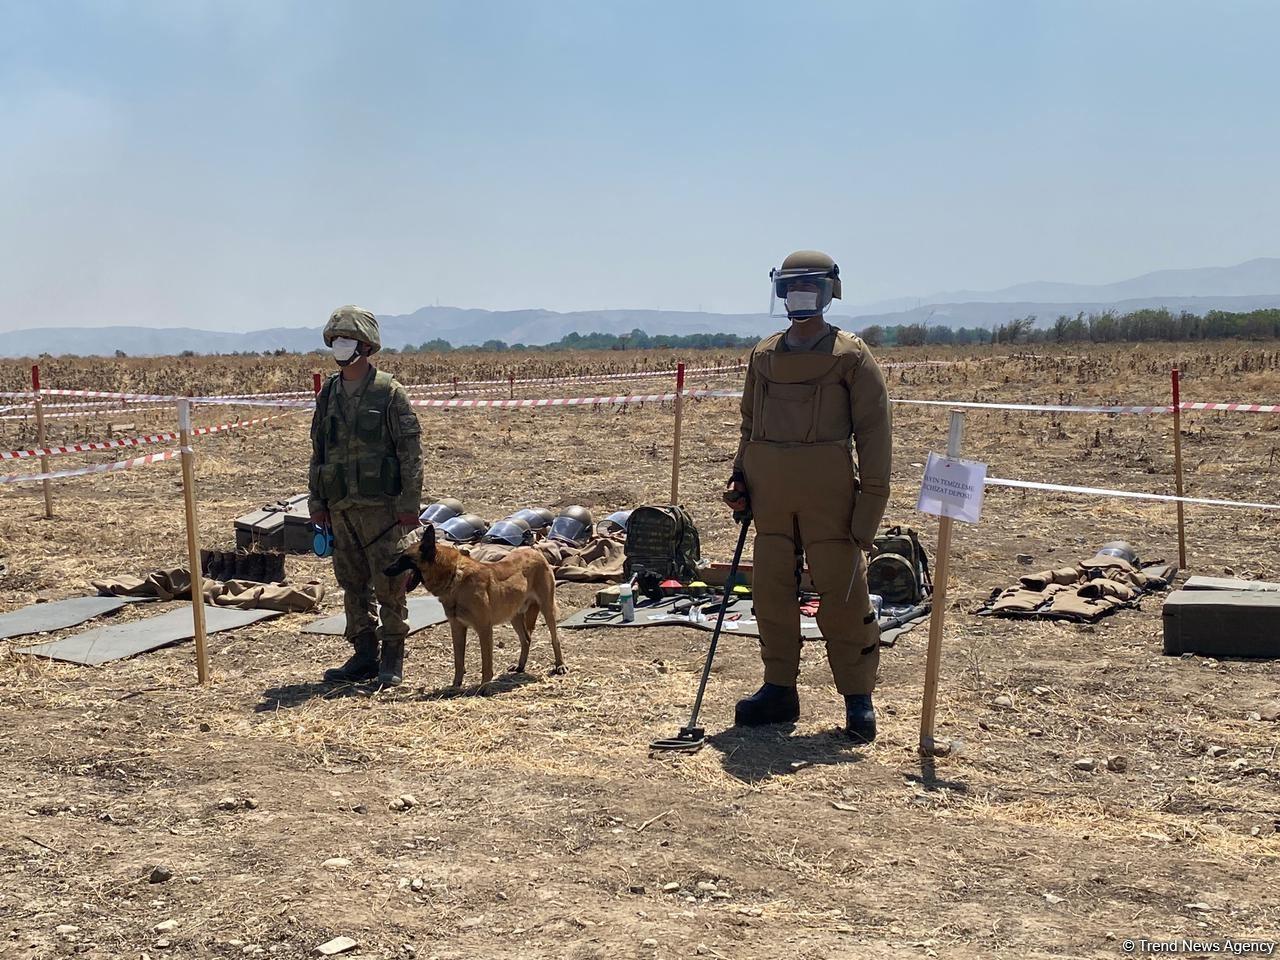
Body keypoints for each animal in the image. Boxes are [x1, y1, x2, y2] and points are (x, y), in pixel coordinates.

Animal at [381, 527, 568, 691]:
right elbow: (458, 661)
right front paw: (455, 685)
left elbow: (486, 663)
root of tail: (535, 551)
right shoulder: (457, 628)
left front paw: (484, 687)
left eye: (404, 558)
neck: (455, 576)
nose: (384, 570)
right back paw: (520, 666)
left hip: (547, 609)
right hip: (513, 615)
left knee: (555, 638)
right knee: (526, 639)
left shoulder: (484, 629)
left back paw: (560, 665)